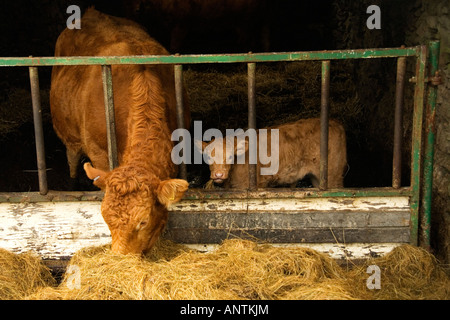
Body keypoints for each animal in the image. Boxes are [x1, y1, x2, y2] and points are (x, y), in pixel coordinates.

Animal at [50, 8, 189, 255]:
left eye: (143, 221)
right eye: (105, 218)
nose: (119, 258)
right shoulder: (98, 152)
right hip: (70, 138)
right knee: (72, 159)